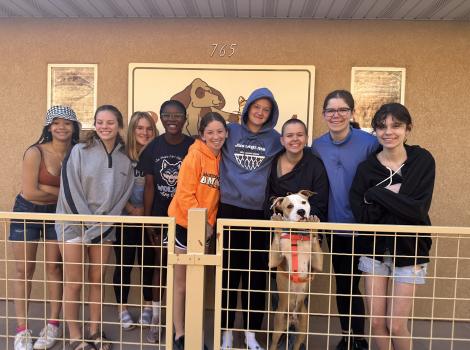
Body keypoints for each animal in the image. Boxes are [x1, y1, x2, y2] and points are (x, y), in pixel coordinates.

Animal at [268, 190, 324, 350]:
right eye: (289, 206)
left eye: (304, 202)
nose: (301, 211)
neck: (298, 236)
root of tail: (292, 319)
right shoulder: (273, 261)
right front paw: (277, 221)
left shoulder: (317, 264)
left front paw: (313, 223)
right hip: (278, 326)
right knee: (274, 343)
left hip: (303, 328)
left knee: (297, 344)